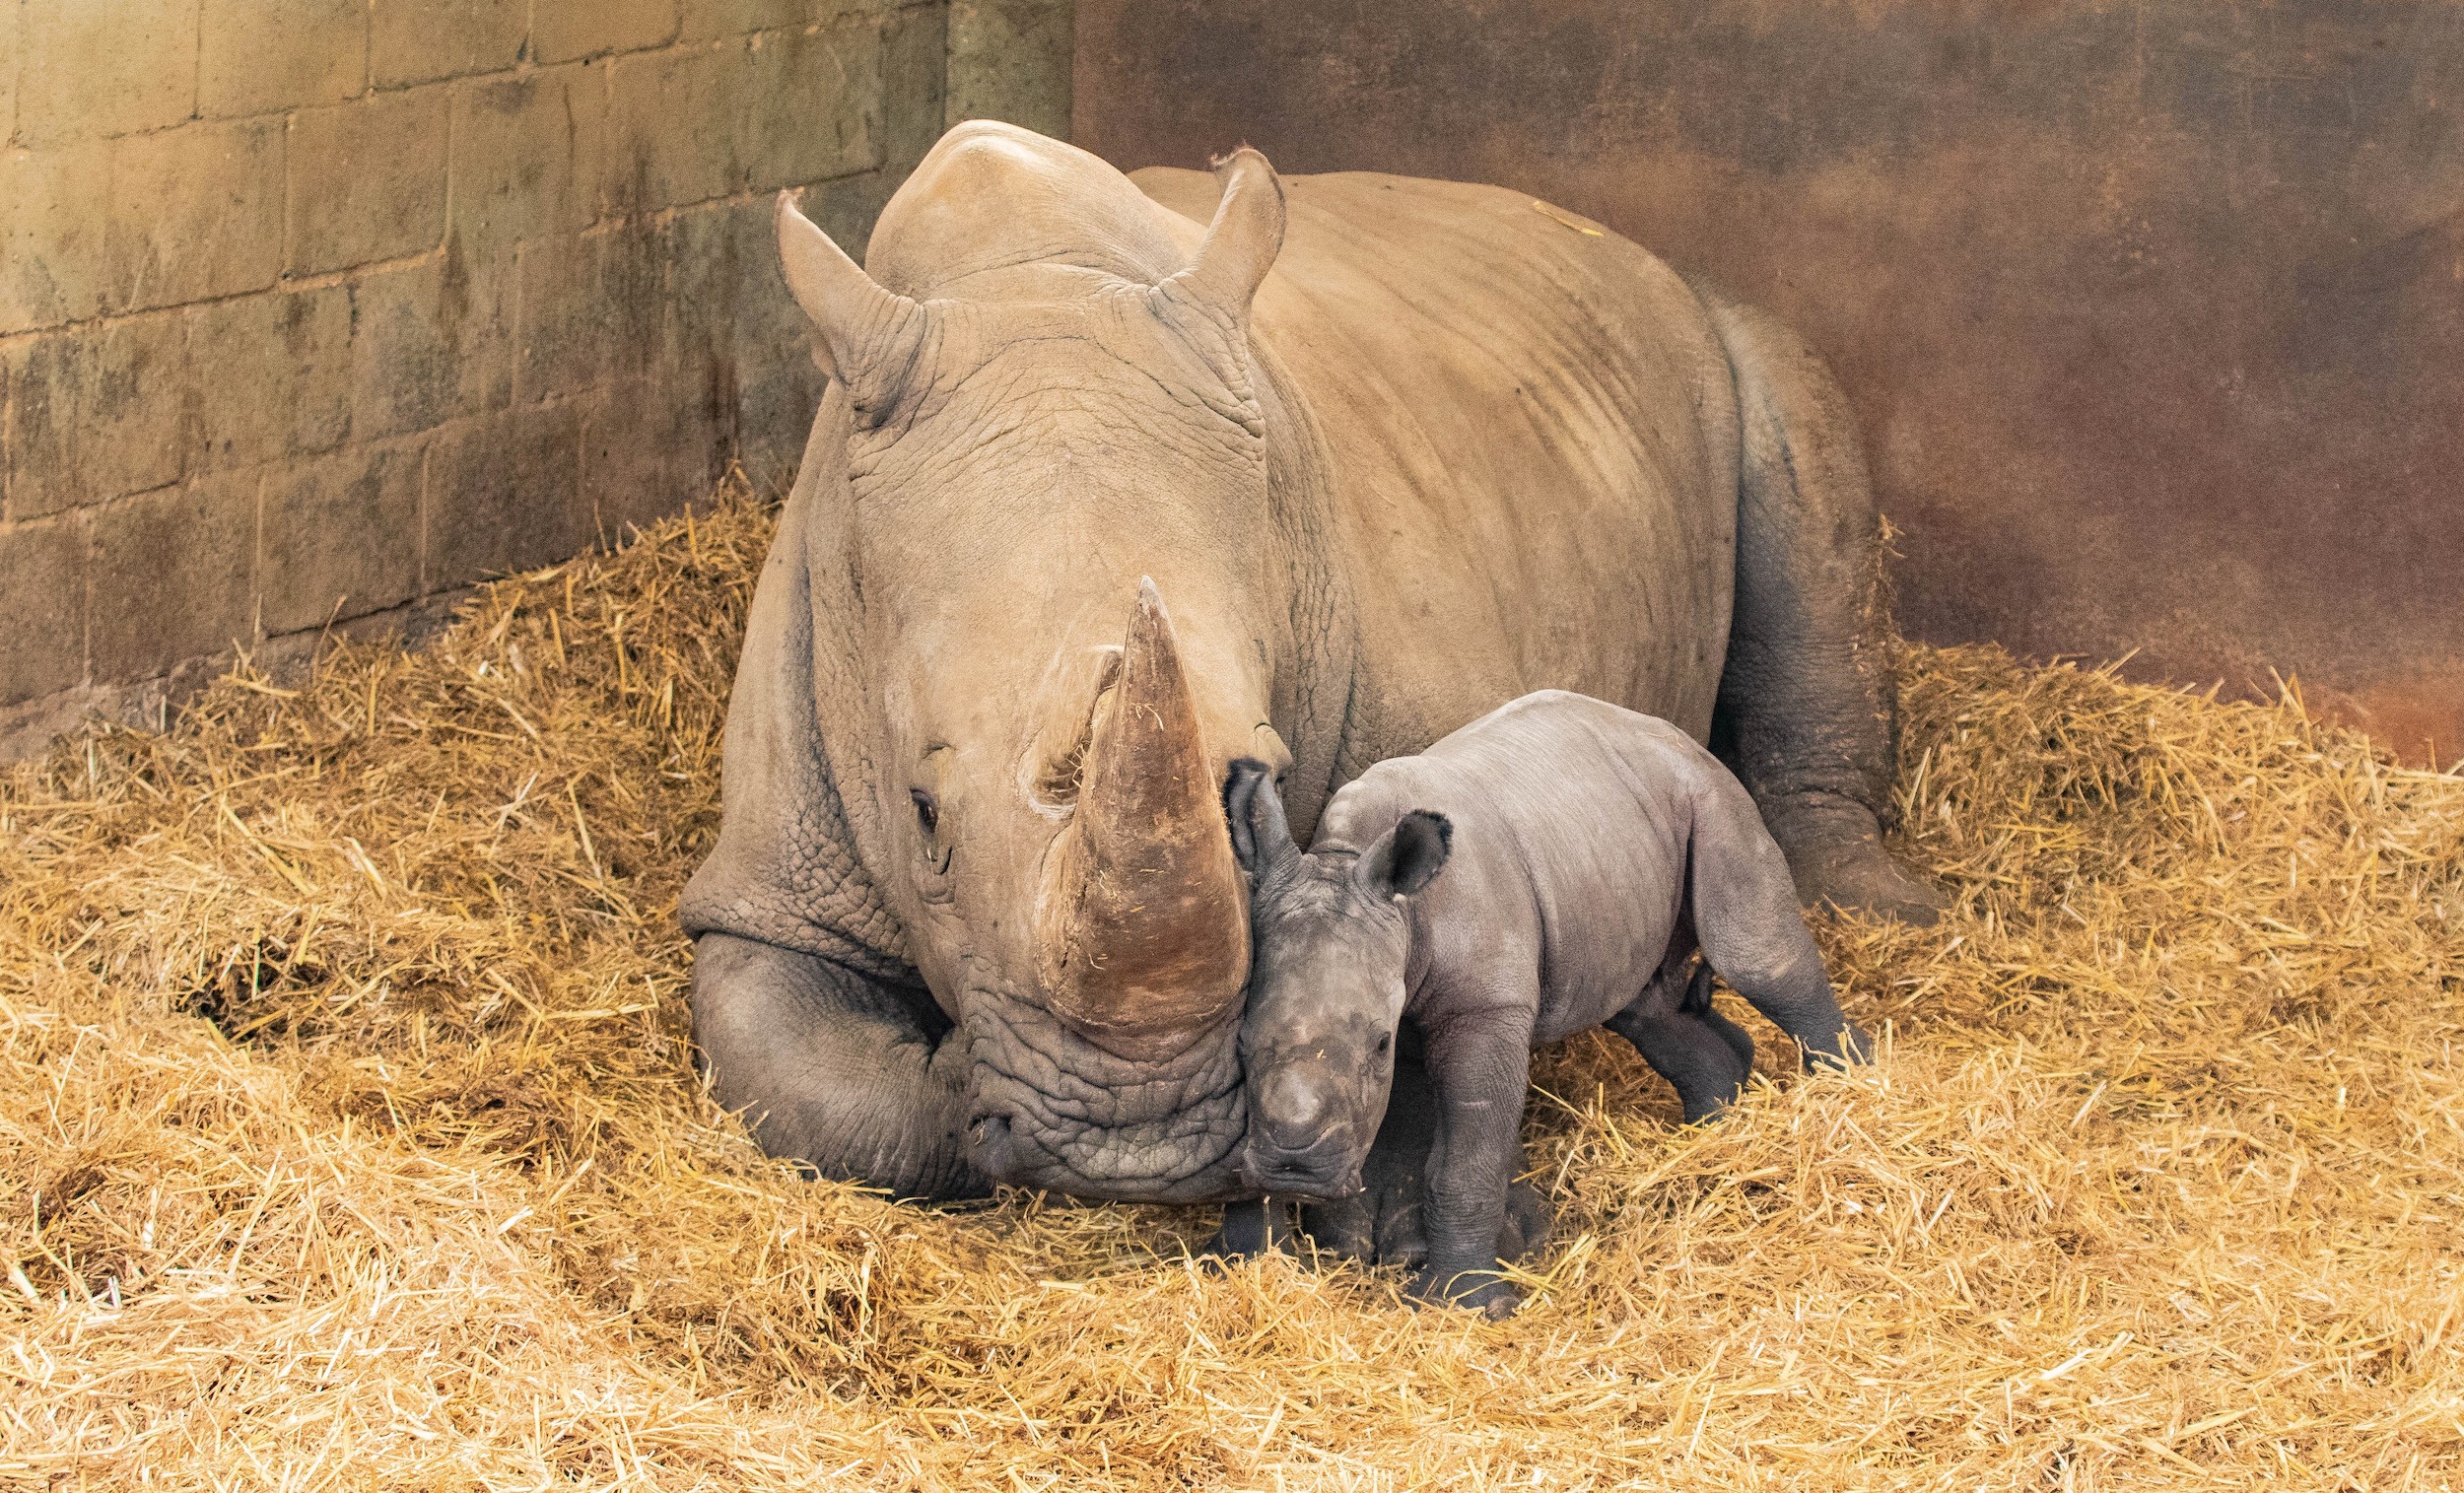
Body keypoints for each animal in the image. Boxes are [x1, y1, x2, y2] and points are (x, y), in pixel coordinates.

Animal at [680, 123, 1942, 1222]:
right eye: (922, 812)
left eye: (1271, 782)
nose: (1128, 1147)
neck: (1029, 277)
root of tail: (1611, 239)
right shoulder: (772, 876)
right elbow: (817, 1094)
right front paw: (955, 1077)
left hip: (1724, 329)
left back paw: (1887, 912)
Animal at [1222, 690, 1873, 1311]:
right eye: (1243, 1045)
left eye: (1380, 1045)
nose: (1296, 1167)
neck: (1355, 865)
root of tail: (1673, 735)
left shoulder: (1489, 1008)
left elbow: (1468, 1160)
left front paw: (1463, 1304)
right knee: (1643, 1009)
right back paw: (1708, 1140)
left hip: (1711, 797)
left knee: (1753, 954)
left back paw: (1852, 1099)